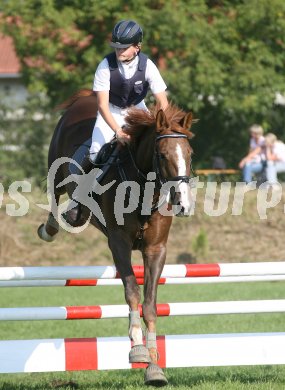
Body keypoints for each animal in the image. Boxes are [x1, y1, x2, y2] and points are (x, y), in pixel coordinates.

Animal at [37, 90, 195, 386]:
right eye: (161, 154)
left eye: (189, 153)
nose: (183, 203)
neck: (144, 191)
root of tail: (86, 98)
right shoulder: (118, 243)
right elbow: (132, 291)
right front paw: (137, 349)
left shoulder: (156, 249)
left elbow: (150, 303)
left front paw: (154, 366)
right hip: (57, 165)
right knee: (55, 194)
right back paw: (50, 228)